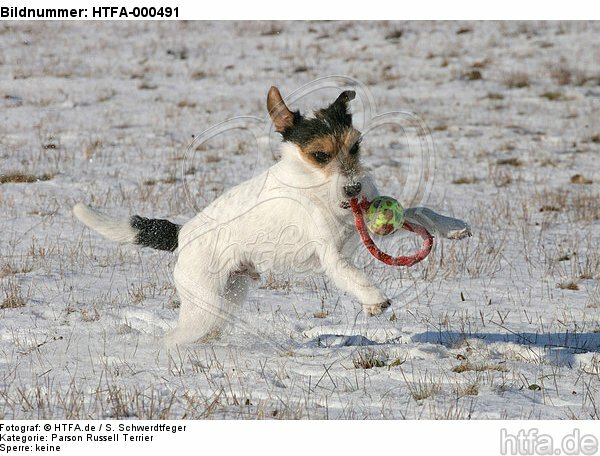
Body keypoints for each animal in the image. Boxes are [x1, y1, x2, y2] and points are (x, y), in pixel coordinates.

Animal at [74, 87, 468, 348]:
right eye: (320, 155)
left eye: (355, 146)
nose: (354, 189)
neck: (316, 187)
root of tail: (183, 234)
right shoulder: (331, 253)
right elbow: (351, 274)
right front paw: (374, 299)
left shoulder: (369, 220)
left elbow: (418, 211)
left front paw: (453, 226)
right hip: (203, 303)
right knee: (175, 336)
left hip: (229, 295)